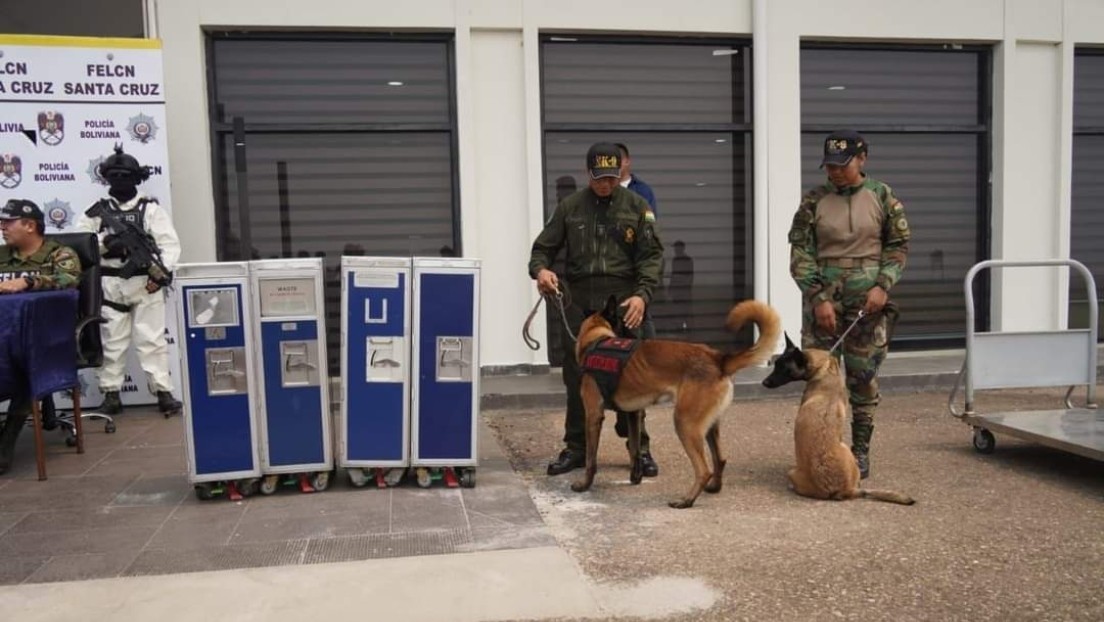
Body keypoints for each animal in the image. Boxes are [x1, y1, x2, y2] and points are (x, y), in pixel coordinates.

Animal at [574, 293, 781, 508]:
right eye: (625, 325)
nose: (639, 337)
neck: (595, 339)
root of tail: (718, 359)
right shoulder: (633, 414)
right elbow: (634, 450)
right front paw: (635, 477)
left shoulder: (593, 416)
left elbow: (591, 460)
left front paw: (584, 485)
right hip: (709, 426)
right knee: (720, 459)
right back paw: (714, 488)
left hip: (685, 423)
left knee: (703, 470)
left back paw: (686, 500)